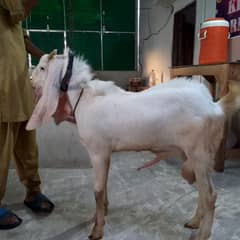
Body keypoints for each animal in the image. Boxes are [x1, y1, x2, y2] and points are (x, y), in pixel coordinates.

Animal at [26, 49, 240, 239]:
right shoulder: (106, 153)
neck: (86, 99)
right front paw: (103, 212)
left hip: (200, 154)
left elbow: (97, 191)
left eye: (43, 68)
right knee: (204, 192)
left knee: (210, 195)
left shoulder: (97, 152)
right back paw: (194, 221)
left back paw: (203, 234)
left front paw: (97, 230)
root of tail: (214, 106)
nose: (30, 81)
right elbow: (104, 186)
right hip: (195, 156)